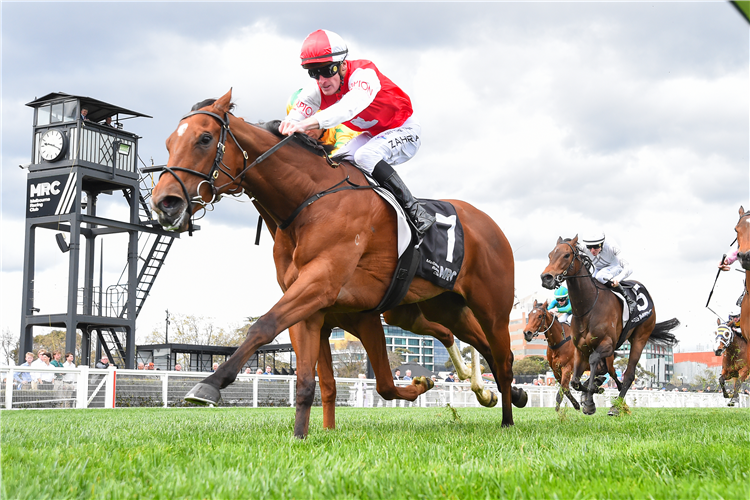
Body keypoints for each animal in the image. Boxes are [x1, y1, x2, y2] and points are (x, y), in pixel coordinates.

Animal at [148, 90, 528, 438]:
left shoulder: (324, 286)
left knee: (503, 357)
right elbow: (315, 382)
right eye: (168, 142)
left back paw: (508, 417)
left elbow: (263, 326)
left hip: (492, 308)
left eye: (204, 138)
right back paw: (493, 392)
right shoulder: (317, 310)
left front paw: (210, 384)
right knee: (468, 340)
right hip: (435, 307)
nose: (165, 202)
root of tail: (488, 223)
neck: (308, 201)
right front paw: (303, 436)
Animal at [540, 236, 680, 416]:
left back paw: (616, 406)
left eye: (566, 255)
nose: (546, 278)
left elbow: (593, 362)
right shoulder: (579, 349)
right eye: (550, 255)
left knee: (629, 374)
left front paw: (590, 402)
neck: (588, 307)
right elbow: (575, 382)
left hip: (640, 337)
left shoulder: (607, 344)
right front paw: (591, 392)